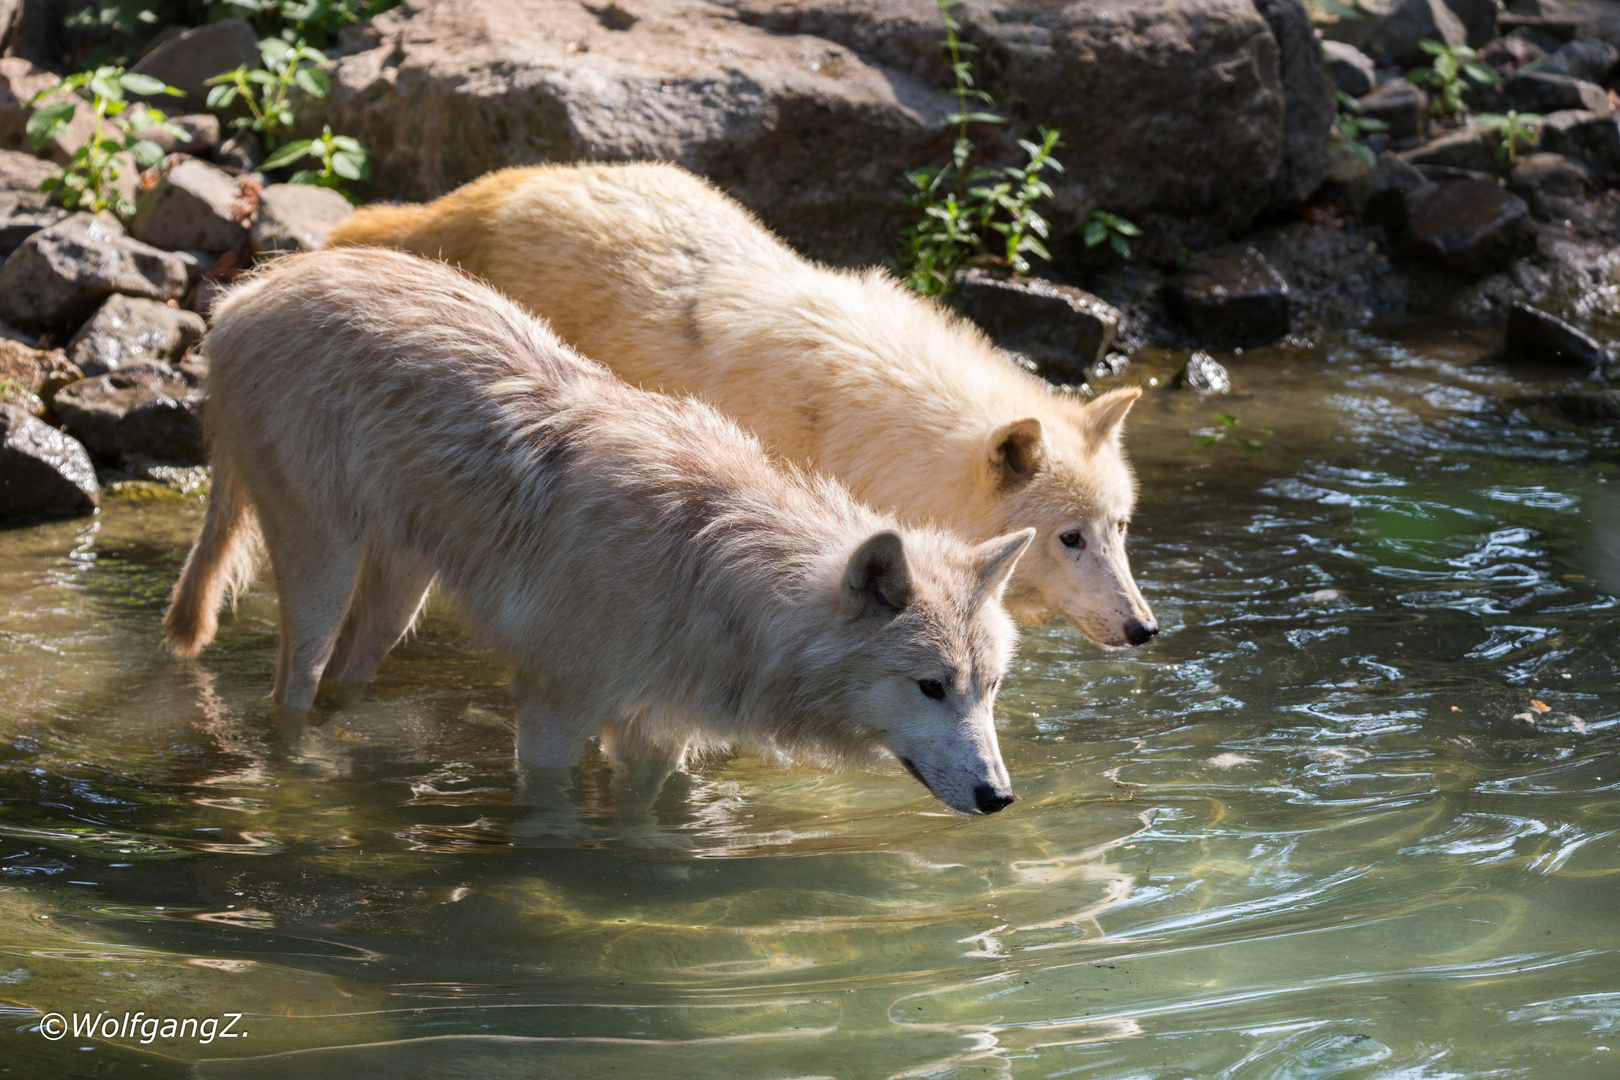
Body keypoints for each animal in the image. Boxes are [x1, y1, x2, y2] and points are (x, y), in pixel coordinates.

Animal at [164, 249, 1036, 816]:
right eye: (930, 687)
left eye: (989, 688)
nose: (1000, 796)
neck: (706, 571)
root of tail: (246, 292)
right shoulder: (553, 710)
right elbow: (552, 821)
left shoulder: (656, 733)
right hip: (323, 566)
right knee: (290, 693)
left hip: (396, 599)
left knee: (346, 677)